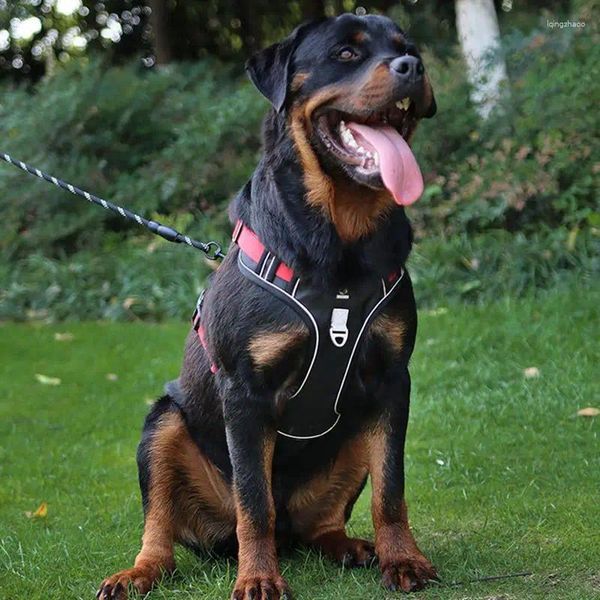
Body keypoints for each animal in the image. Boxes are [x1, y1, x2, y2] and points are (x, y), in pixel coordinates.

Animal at [97, 12, 436, 600]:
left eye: (408, 48)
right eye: (346, 54)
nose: (412, 67)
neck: (339, 248)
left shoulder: (392, 379)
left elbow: (390, 488)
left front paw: (404, 559)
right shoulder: (244, 390)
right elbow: (253, 501)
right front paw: (257, 578)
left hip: (351, 436)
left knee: (322, 521)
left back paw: (347, 546)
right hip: (163, 424)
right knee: (166, 523)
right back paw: (139, 571)